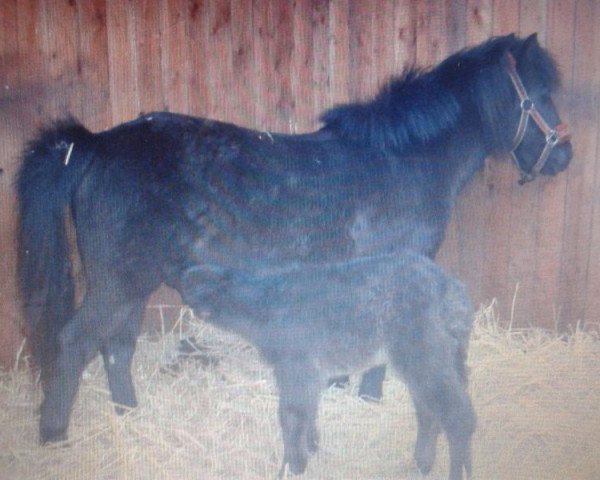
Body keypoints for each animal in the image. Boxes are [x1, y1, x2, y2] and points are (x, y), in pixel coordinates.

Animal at [180, 253, 476, 478]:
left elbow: (291, 415)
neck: (263, 307)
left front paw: (293, 465)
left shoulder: (295, 363)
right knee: (431, 410)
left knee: (457, 416)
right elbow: (308, 410)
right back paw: (423, 463)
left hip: (423, 350)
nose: (191, 308)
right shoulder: (310, 371)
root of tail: (451, 289)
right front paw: (310, 448)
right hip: (441, 356)